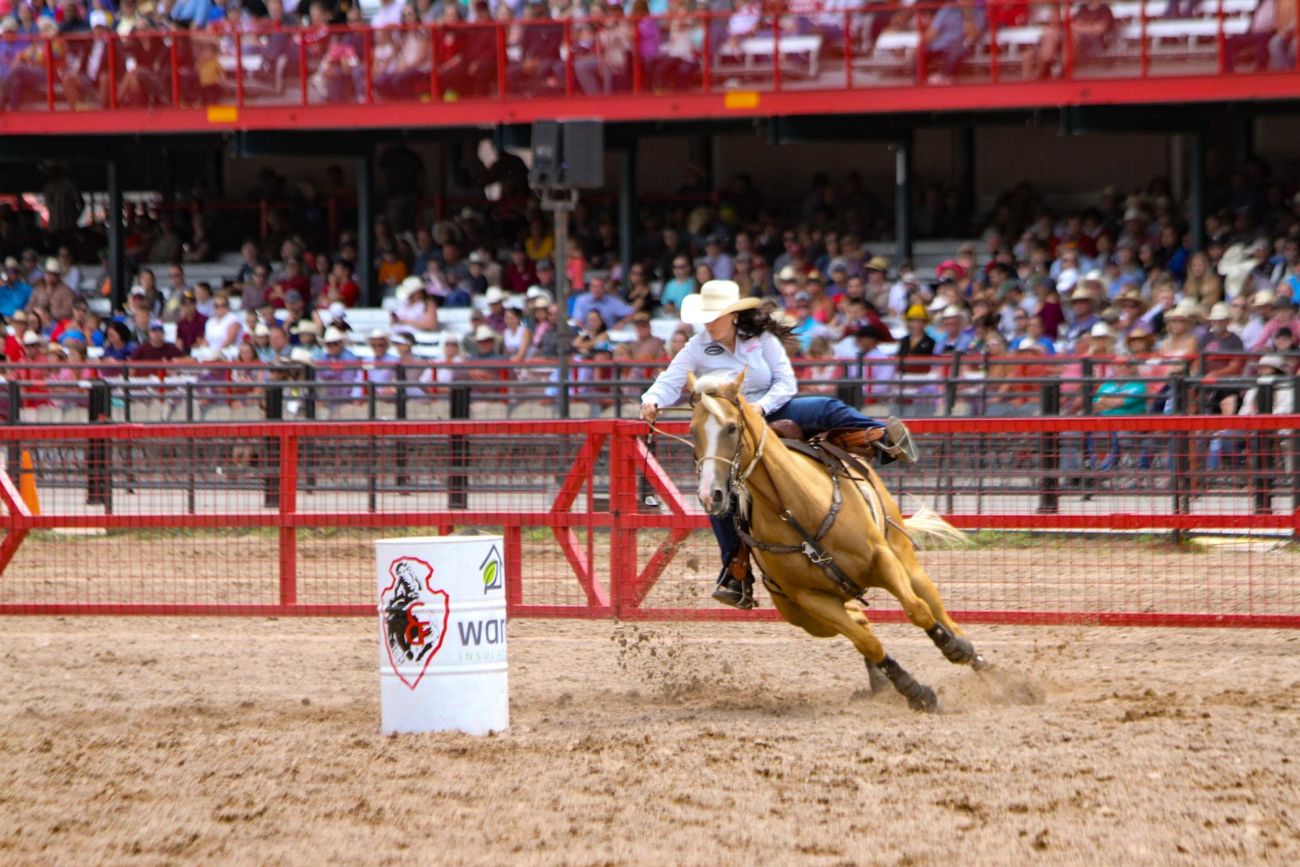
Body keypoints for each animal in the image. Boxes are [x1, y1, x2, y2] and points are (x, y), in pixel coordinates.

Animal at [691, 369, 982, 707]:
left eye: (732, 427)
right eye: (693, 431)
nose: (710, 495)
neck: (795, 508)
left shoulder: (882, 560)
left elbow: (918, 610)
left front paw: (956, 650)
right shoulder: (812, 600)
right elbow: (867, 642)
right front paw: (915, 692)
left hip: (906, 562)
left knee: (935, 608)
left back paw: (982, 663)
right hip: (805, 616)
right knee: (860, 621)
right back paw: (880, 682)